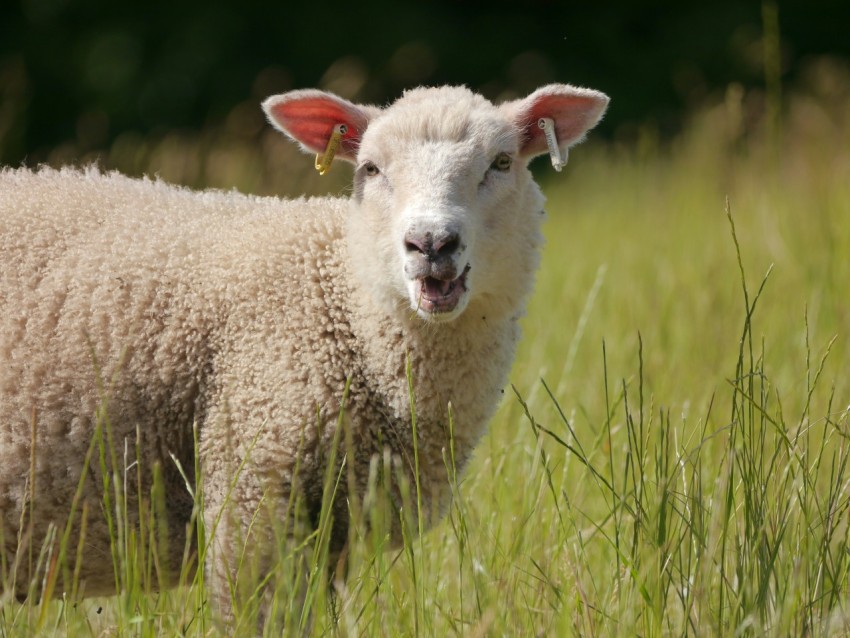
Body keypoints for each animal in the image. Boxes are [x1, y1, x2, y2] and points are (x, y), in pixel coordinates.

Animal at [1, 82, 608, 628]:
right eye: (370, 169)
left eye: (502, 162)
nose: (432, 243)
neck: (344, 300)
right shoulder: (251, 487)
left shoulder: (334, 530)